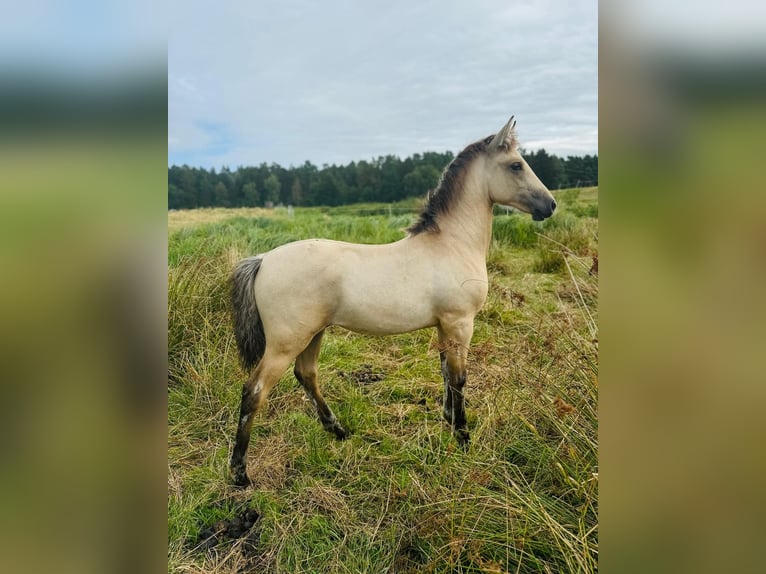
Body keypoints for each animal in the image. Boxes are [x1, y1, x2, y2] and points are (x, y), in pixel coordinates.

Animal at [228, 119, 560, 488]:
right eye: (516, 165)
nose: (550, 205)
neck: (452, 244)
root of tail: (263, 260)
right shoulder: (460, 323)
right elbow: (459, 378)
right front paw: (463, 438)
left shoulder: (444, 326)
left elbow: (446, 373)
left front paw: (448, 421)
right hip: (285, 343)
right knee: (254, 391)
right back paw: (240, 473)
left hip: (313, 334)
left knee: (306, 375)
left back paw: (338, 430)